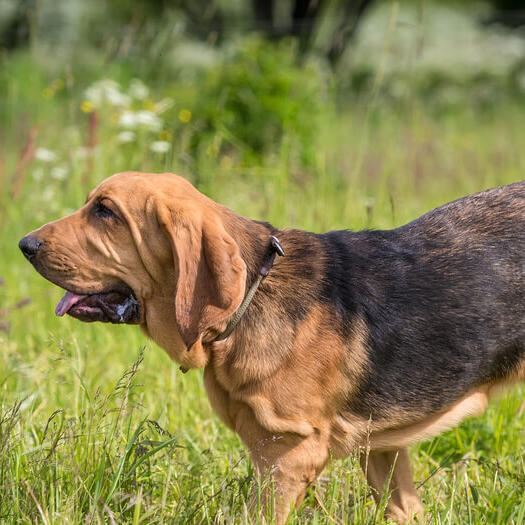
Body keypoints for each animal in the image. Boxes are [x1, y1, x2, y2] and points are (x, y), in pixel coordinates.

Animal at [18, 172, 524, 520]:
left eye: (106, 212)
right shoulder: (381, 448)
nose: (24, 244)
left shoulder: (286, 456)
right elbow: (404, 507)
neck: (253, 294)